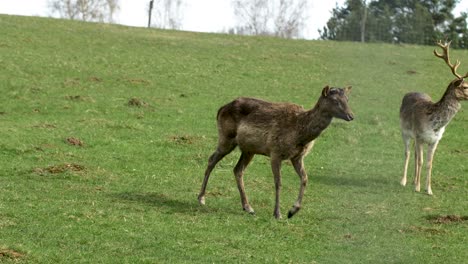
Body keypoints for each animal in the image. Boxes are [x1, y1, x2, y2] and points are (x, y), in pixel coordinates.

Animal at [198, 86, 354, 219]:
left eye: (347, 99)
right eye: (335, 100)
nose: (351, 116)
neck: (300, 134)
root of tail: (221, 109)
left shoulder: (297, 157)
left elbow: (305, 178)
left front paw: (292, 211)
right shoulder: (275, 152)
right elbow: (278, 183)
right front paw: (278, 213)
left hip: (249, 150)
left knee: (237, 170)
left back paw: (248, 207)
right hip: (226, 138)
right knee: (212, 160)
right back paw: (201, 198)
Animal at [400, 40, 468, 195]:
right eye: (465, 86)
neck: (434, 125)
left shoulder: (435, 140)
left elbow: (429, 163)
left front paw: (429, 190)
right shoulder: (419, 136)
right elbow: (420, 161)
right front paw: (418, 188)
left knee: (414, 154)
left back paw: (413, 180)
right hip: (405, 133)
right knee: (407, 153)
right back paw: (404, 181)